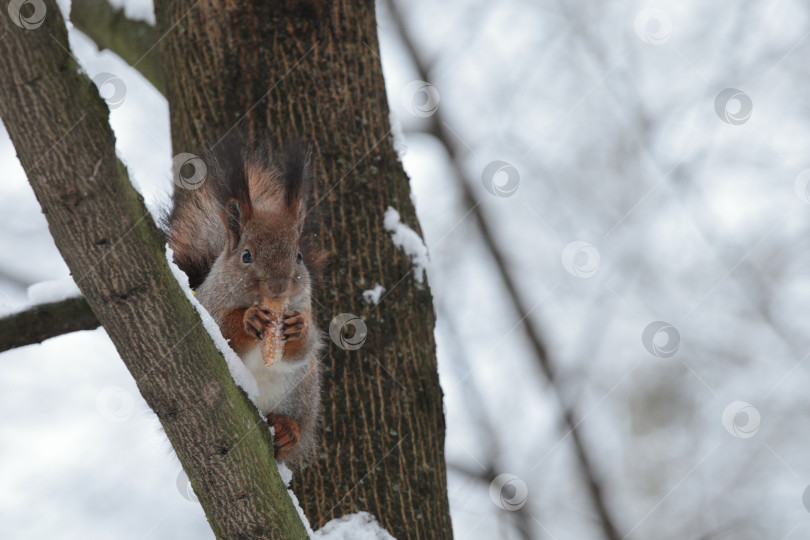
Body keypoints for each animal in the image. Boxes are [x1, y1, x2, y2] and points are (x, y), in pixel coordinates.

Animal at [164, 137, 328, 470]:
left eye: (298, 256)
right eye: (247, 255)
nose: (278, 286)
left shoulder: (305, 306)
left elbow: (304, 346)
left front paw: (298, 328)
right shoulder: (208, 307)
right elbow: (223, 330)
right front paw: (248, 319)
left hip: (303, 393)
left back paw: (288, 431)